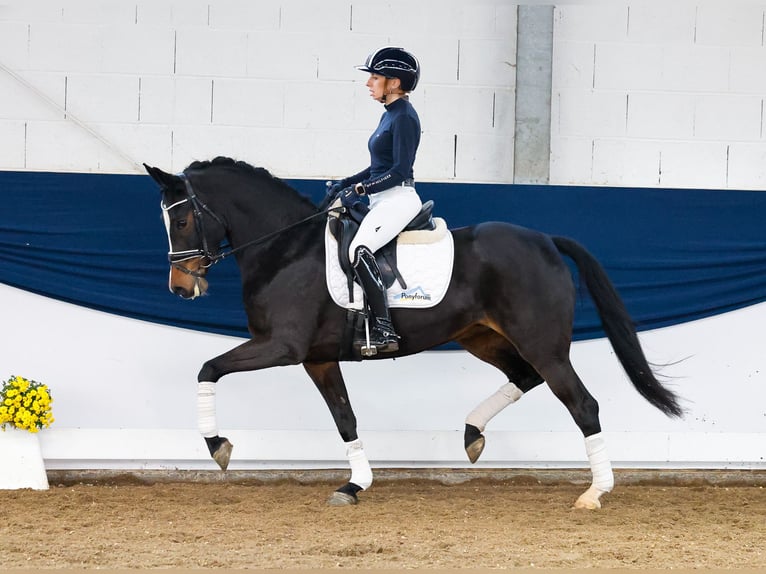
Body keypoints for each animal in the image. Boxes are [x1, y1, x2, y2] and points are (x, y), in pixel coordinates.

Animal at [144, 159, 684, 512]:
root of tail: (546, 240)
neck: (285, 249)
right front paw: (355, 485)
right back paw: (472, 434)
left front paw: (217, 446)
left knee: (582, 404)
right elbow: (344, 417)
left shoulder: (282, 347)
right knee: (523, 377)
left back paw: (595, 492)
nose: (181, 287)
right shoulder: (317, 357)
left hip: (544, 344)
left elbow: (208, 368)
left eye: (184, 218)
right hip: (482, 337)